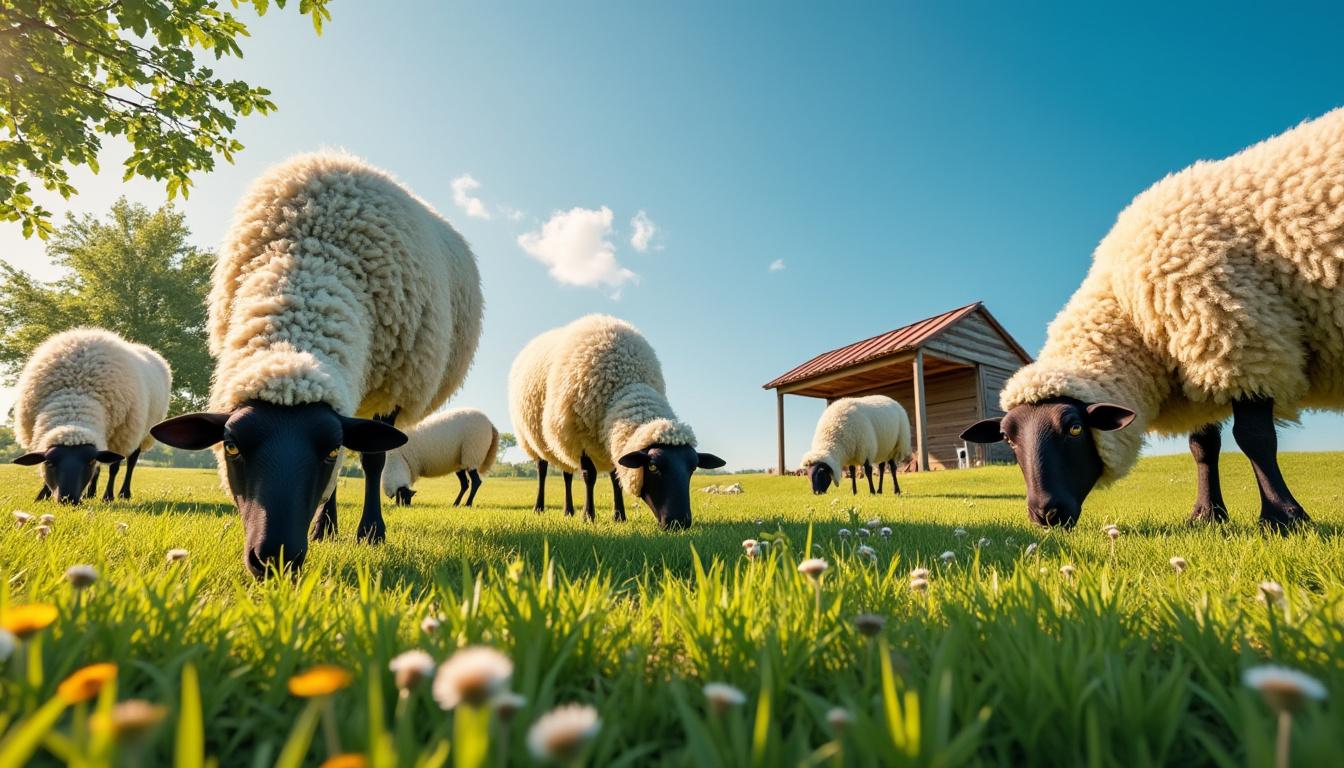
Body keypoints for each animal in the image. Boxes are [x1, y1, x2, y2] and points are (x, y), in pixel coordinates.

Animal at [12, 328, 171, 504]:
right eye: (50, 463)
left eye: (89, 461)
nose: (68, 499)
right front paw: (42, 496)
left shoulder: (120, 436)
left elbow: (114, 467)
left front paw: (108, 496)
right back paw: (91, 493)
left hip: (141, 432)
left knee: (131, 462)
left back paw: (123, 493)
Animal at [151, 151, 483, 577]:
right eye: (231, 447)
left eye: (329, 450)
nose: (274, 558)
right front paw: (326, 528)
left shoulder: (393, 386)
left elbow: (373, 459)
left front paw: (372, 532)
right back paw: (326, 526)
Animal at [508, 314, 724, 528]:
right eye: (653, 467)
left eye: (693, 468)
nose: (679, 522)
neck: (625, 387)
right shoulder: (581, 436)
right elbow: (589, 476)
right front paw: (588, 516)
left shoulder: (610, 440)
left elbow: (616, 477)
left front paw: (619, 516)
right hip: (534, 439)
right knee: (542, 470)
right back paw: (539, 508)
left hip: (561, 443)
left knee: (566, 474)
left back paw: (568, 511)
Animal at [961, 108, 1344, 532]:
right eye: (1008, 439)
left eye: (1076, 428)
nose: (1046, 514)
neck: (1134, 319)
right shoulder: (1195, 351)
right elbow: (1202, 445)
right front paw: (1206, 516)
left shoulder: (1241, 342)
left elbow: (1255, 437)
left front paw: (1283, 517)